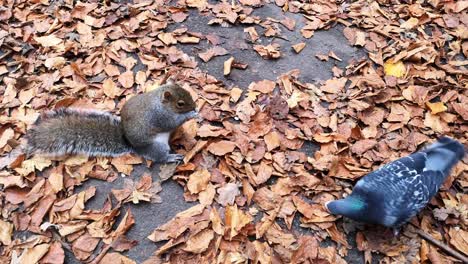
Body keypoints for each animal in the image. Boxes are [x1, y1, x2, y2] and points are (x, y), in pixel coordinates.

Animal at [25, 82, 197, 163]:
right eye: (180, 103)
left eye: (188, 92)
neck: (160, 103)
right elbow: (171, 122)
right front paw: (191, 115)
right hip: (157, 146)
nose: (194, 106)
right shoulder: (159, 116)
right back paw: (170, 158)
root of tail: (132, 145)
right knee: (159, 157)